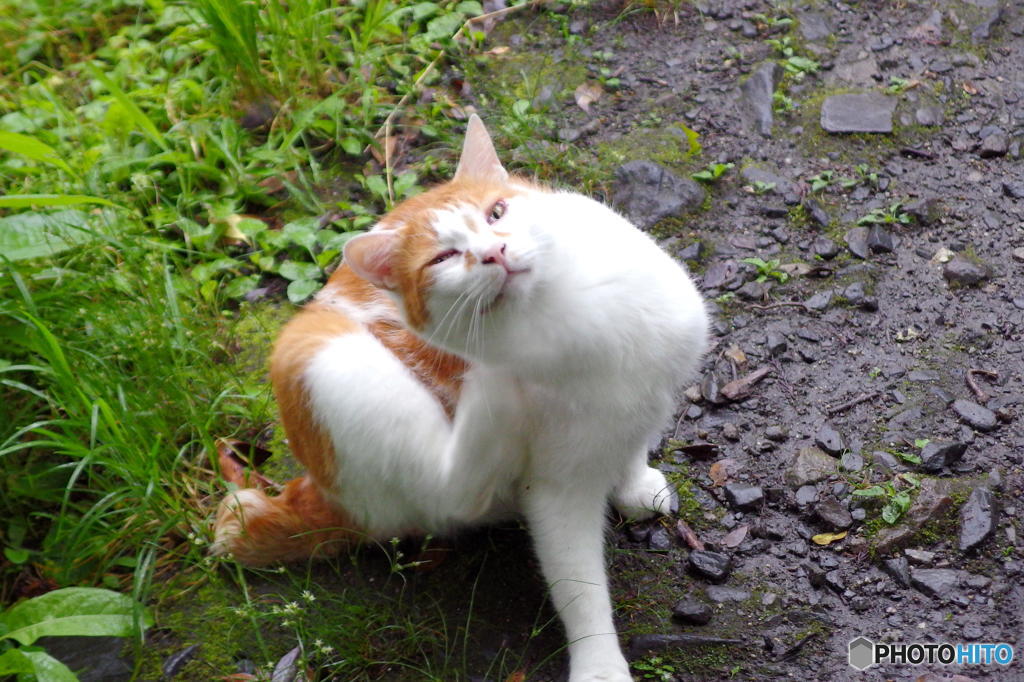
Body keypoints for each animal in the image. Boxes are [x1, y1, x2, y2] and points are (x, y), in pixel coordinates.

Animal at [214, 114, 712, 675]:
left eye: (497, 211)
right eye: (444, 257)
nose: (493, 252)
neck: (569, 312)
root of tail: (317, 494)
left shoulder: (651, 385)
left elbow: (634, 432)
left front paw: (631, 481)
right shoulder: (556, 489)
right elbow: (579, 587)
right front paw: (600, 667)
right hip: (324, 353)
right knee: (454, 490)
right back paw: (491, 394)